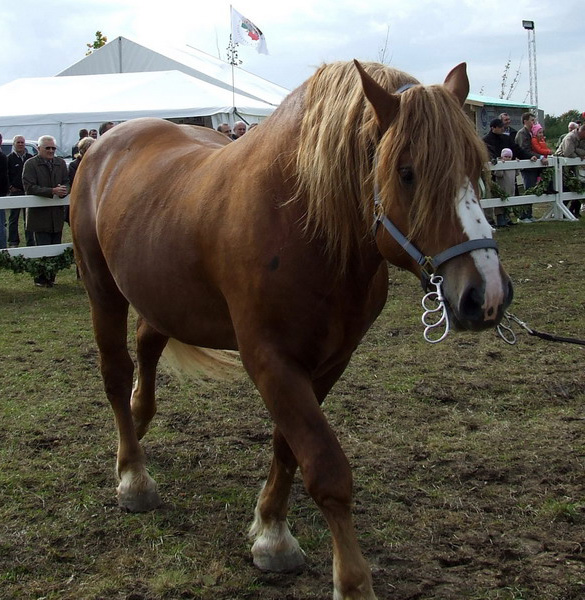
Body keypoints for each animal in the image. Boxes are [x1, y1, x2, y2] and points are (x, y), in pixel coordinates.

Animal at [70, 59, 512, 596]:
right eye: (407, 173)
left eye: (477, 168)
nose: (486, 295)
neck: (304, 221)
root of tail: (102, 143)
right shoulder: (270, 360)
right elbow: (325, 467)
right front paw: (350, 580)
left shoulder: (329, 361)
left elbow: (289, 447)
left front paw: (271, 531)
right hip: (102, 290)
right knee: (115, 373)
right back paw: (133, 475)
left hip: (161, 296)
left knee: (147, 347)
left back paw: (137, 425)